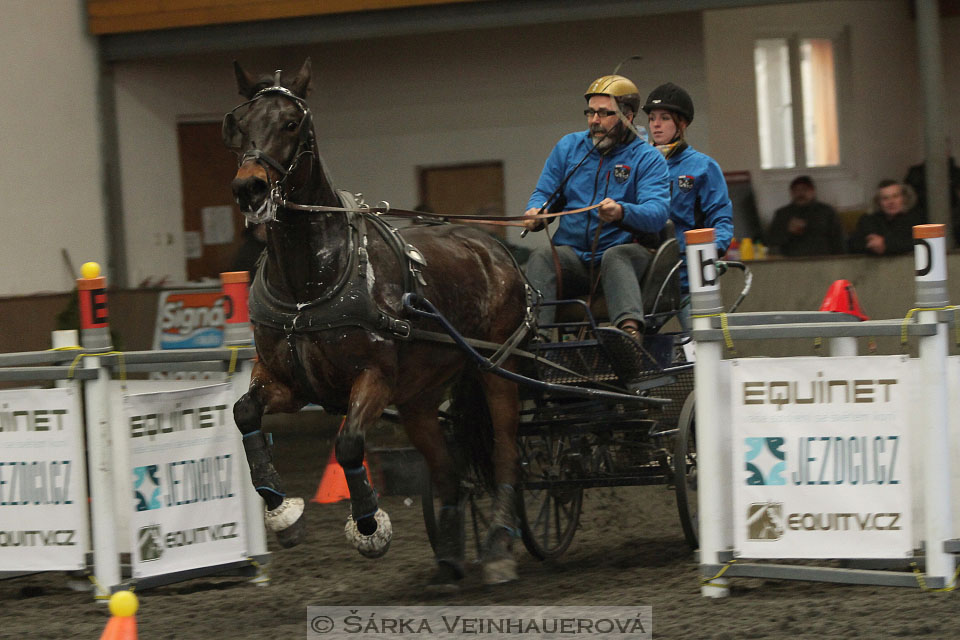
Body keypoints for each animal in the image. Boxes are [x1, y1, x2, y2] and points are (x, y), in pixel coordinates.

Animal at [221, 57, 528, 588]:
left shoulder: (374, 378)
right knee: (447, 472)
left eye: (292, 122)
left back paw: (498, 549)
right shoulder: (285, 380)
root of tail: (491, 245)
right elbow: (244, 414)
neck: (308, 285)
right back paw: (450, 556)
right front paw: (283, 515)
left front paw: (368, 525)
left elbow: (348, 444)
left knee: (506, 451)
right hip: (420, 396)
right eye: (239, 123)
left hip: (496, 370)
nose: (250, 188)